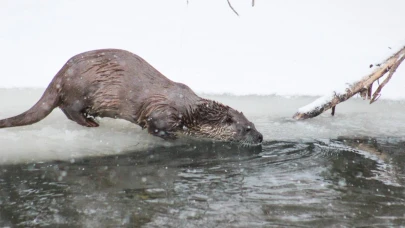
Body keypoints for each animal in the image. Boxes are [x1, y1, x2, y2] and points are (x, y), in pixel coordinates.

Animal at [0, 50, 262, 146]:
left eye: (254, 124)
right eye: (247, 128)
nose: (260, 137)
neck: (190, 112)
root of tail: (60, 75)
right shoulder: (162, 113)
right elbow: (154, 127)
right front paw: (172, 137)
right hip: (79, 91)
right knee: (69, 110)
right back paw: (91, 122)